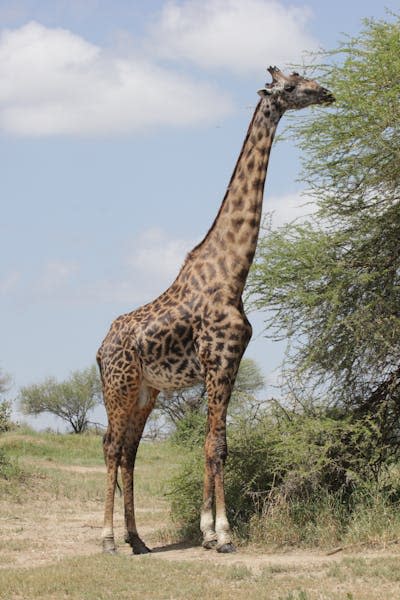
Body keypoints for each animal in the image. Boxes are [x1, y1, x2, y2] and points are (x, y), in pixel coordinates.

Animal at [97, 68, 334, 556]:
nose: (326, 92)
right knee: (110, 445)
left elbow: (211, 444)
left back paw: (137, 540)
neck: (233, 274)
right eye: (291, 85)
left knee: (128, 451)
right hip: (119, 386)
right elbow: (217, 447)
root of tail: (98, 348)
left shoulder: (227, 364)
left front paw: (207, 531)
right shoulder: (219, 360)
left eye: (303, 77)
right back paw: (109, 540)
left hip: (146, 391)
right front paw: (223, 534)